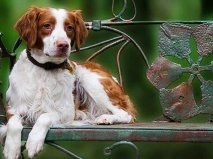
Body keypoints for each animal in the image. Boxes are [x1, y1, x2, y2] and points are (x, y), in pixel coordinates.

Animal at [0, 6, 136, 159]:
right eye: (47, 25)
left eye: (69, 28)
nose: (63, 45)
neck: (45, 69)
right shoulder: (13, 107)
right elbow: (13, 123)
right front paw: (11, 148)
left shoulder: (65, 112)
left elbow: (45, 116)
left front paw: (33, 142)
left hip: (89, 78)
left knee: (126, 114)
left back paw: (106, 118)